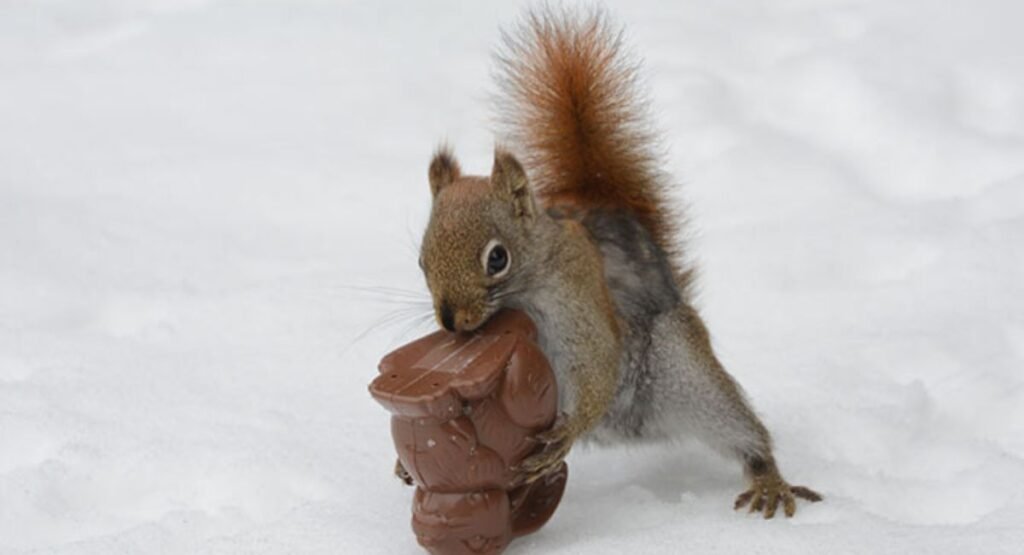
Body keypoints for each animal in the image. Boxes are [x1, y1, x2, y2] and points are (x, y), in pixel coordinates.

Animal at [411, 8, 822, 518]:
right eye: (421, 260)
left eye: (497, 258)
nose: (451, 321)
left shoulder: (578, 305)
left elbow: (596, 363)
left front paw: (566, 432)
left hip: (683, 369)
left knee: (745, 434)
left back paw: (769, 479)